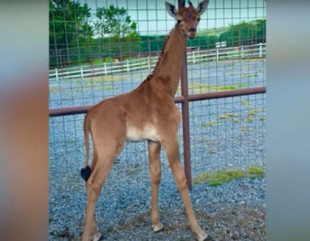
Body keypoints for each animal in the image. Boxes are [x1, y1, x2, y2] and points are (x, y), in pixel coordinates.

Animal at [80, 0, 212, 240]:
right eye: (179, 19)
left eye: (197, 18)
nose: (192, 31)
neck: (166, 88)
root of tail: (89, 116)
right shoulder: (169, 136)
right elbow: (180, 178)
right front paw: (199, 230)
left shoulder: (153, 140)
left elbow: (155, 175)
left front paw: (157, 223)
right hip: (110, 149)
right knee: (94, 183)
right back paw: (88, 235)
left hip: (98, 150)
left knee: (88, 179)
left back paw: (95, 232)